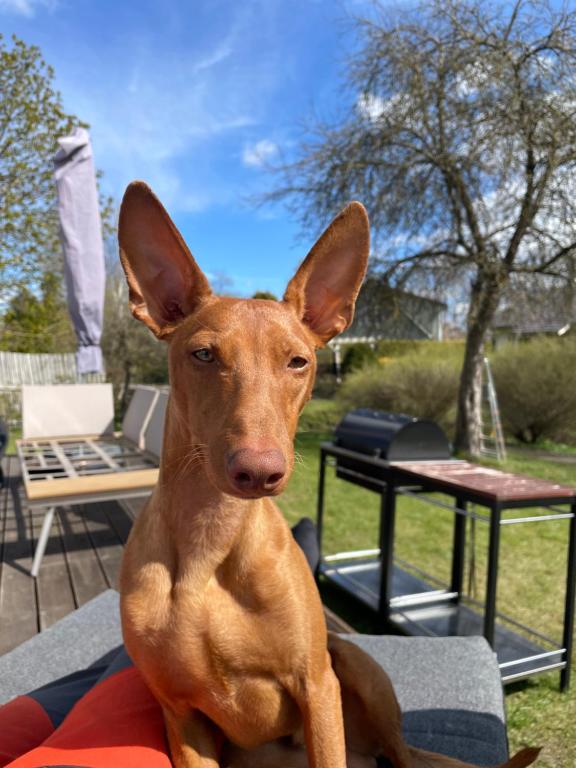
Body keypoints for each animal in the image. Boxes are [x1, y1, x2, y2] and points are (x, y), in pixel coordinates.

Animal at [118, 183, 540, 768]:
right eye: (203, 353)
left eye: (298, 362)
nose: (259, 471)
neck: (210, 537)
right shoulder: (181, 715)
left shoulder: (316, 684)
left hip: (356, 666)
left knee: (400, 754)